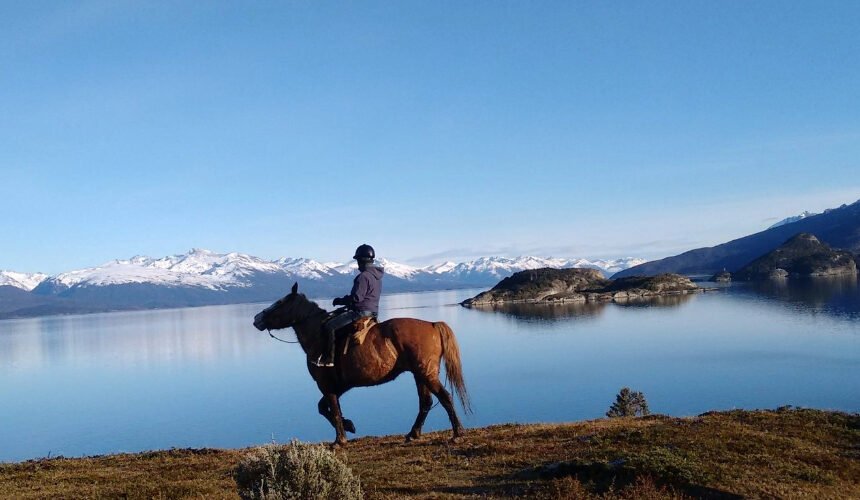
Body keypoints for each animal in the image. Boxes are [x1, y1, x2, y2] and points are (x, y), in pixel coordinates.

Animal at [254, 282, 470, 446]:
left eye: (279, 303)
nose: (257, 319)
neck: (317, 335)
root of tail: (432, 324)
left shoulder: (326, 384)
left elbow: (332, 408)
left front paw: (340, 440)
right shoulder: (340, 385)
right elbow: (324, 407)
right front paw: (349, 425)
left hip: (426, 373)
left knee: (445, 397)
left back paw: (457, 433)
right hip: (420, 374)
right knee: (426, 402)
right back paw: (413, 434)